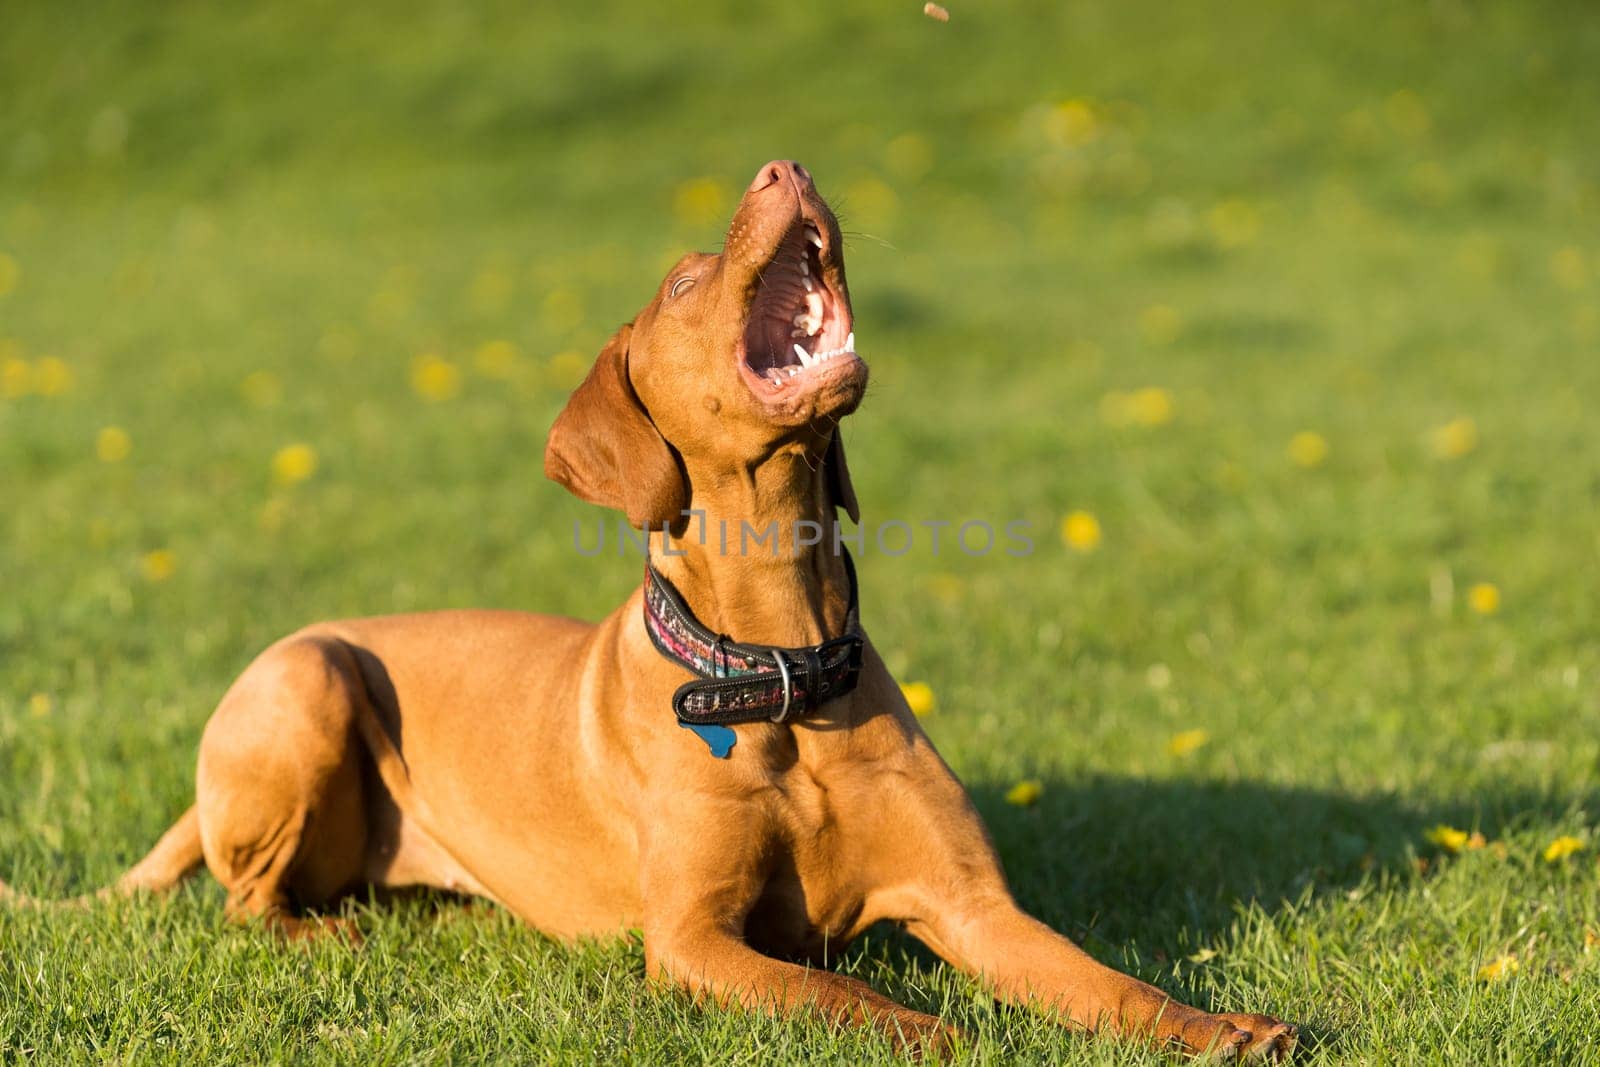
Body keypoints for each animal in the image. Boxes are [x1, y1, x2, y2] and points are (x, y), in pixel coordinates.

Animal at [0, 163, 1299, 1062]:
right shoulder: (695, 939)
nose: (785, 165)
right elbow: (841, 989)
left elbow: (1107, 980)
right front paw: (929, 1029)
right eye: (682, 283)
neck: (778, 668)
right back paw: (321, 932)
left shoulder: (974, 906)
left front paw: (1224, 1024)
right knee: (243, 899)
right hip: (307, 671)